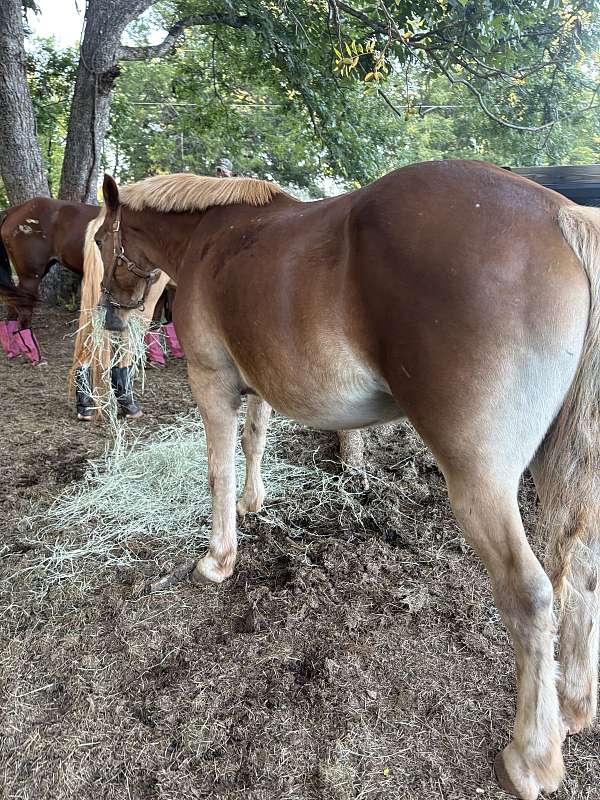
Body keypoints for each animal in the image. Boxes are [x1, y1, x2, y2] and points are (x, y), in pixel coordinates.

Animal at [86, 161, 599, 800]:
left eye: (101, 241)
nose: (111, 311)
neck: (214, 237)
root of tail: (560, 214)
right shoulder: (257, 381)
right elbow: (254, 439)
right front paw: (255, 503)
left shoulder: (211, 379)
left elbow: (218, 467)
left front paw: (218, 557)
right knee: (582, 567)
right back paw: (574, 703)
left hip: (482, 480)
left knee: (530, 594)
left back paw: (531, 757)